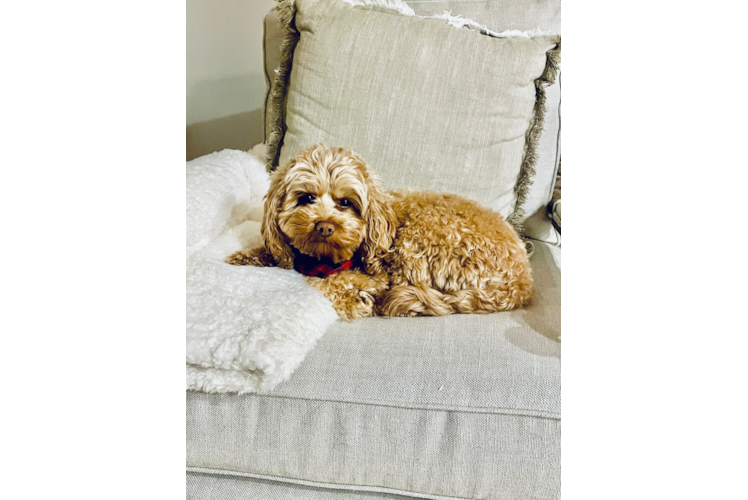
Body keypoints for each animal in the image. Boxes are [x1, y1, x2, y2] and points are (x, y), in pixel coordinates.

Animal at [228, 142, 532, 320]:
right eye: (306, 198)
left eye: (345, 203)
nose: (325, 226)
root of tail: (522, 283)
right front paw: (245, 257)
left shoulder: (378, 274)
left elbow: (332, 282)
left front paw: (355, 301)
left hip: (417, 240)